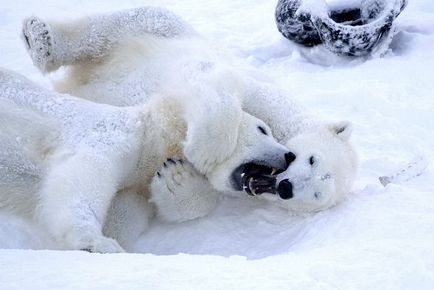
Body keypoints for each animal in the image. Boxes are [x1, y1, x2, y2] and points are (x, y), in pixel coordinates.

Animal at [20, 7, 358, 229]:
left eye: (316, 195)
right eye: (312, 159)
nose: (286, 188)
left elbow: (170, 193)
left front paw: (176, 179)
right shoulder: (257, 91)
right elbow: (211, 83)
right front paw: (205, 150)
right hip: (161, 33)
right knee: (130, 22)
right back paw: (41, 38)